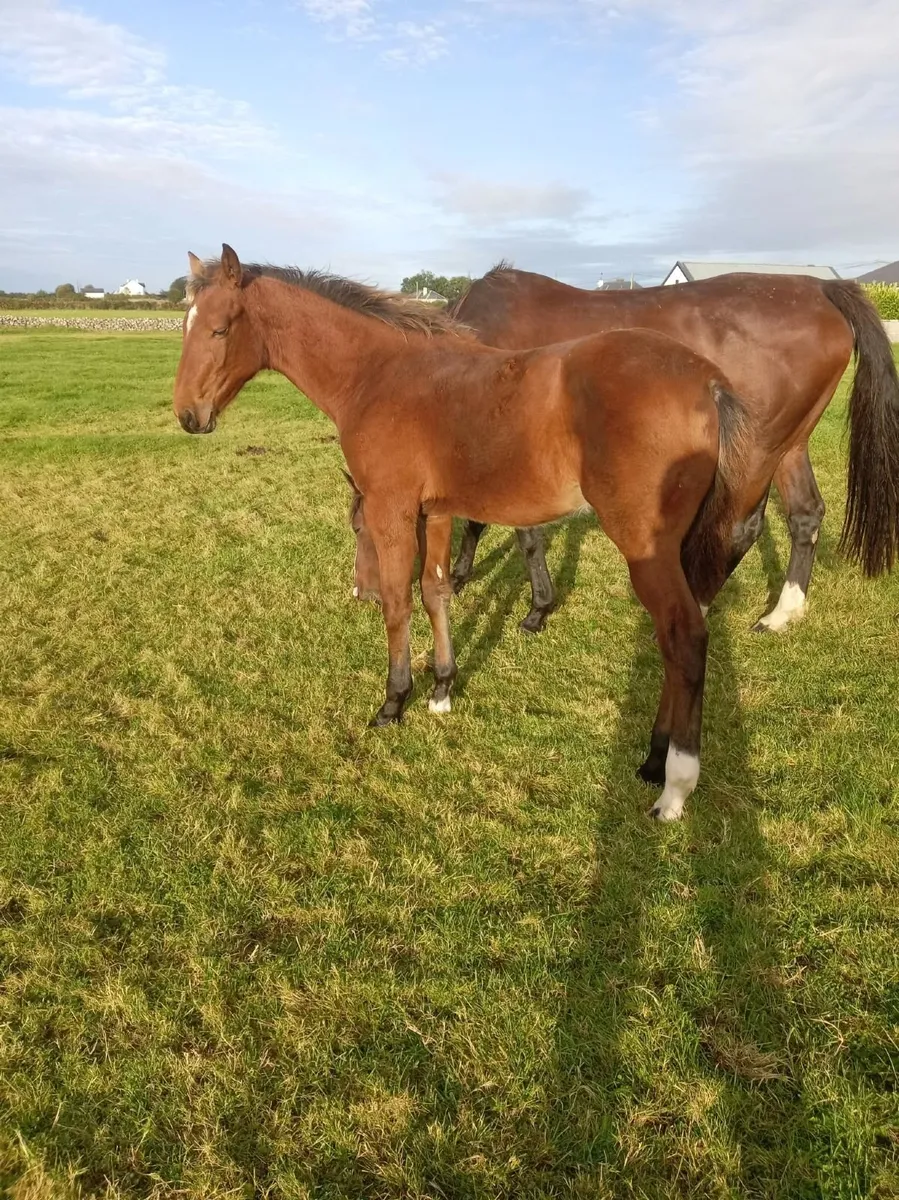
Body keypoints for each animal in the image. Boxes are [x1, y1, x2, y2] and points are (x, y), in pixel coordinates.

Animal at [174, 245, 752, 821]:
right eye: (185, 322)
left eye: (220, 329)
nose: (187, 415)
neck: (378, 376)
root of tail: (709, 381)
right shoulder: (437, 511)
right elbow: (436, 591)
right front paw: (442, 688)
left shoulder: (393, 507)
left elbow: (399, 602)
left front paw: (394, 700)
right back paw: (653, 758)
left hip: (645, 546)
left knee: (684, 636)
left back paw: (674, 786)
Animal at [351, 266, 899, 634]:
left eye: (360, 527)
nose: (363, 592)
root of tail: (821, 288)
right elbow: (477, 518)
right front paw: (463, 576)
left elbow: (521, 532)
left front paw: (536, 608)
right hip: (789, 443)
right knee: (805, 514)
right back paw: (784, 611)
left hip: (757, 448)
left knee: (740, 527)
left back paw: (698, 605)